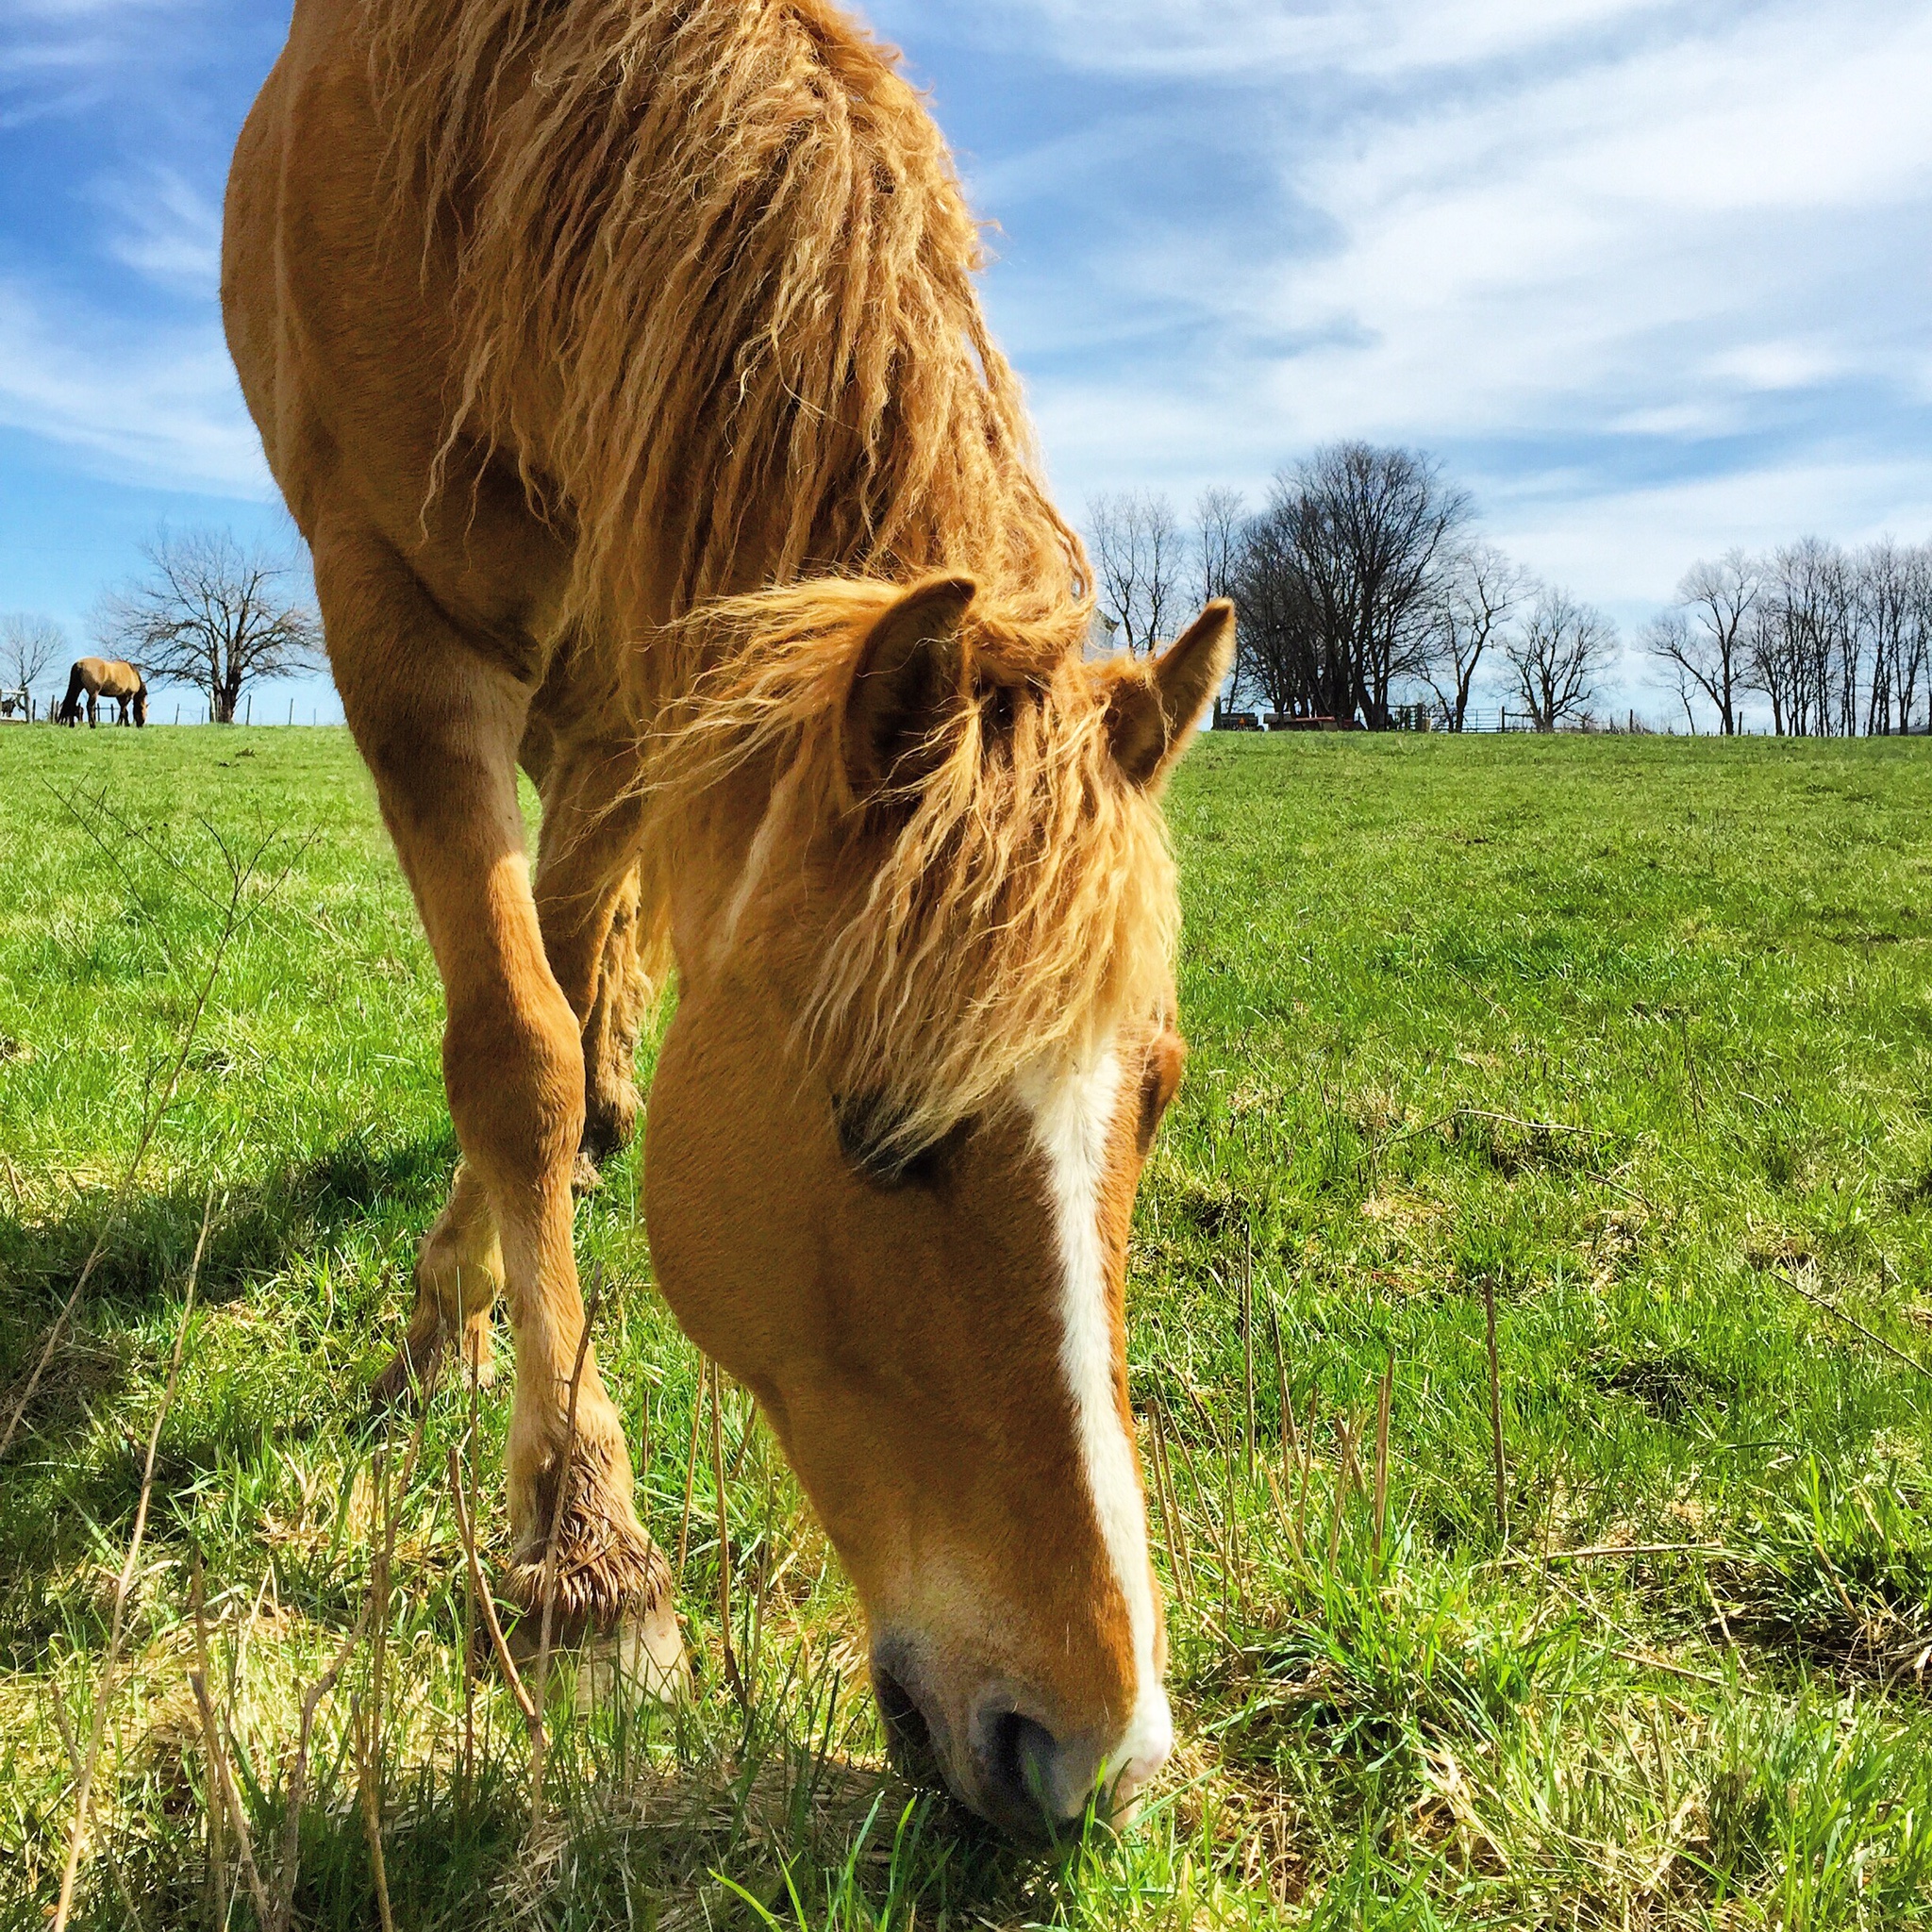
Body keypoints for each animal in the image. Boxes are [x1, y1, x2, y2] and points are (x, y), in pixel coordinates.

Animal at [223, 0, 1232, 1836]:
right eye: (878, 1127)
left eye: (1161, 1101)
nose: (1100, 1752)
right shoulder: (393, 622)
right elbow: (514, 1052)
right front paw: (583, 1548)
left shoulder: (651, 672)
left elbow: (556, 990)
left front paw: (474, 1310)